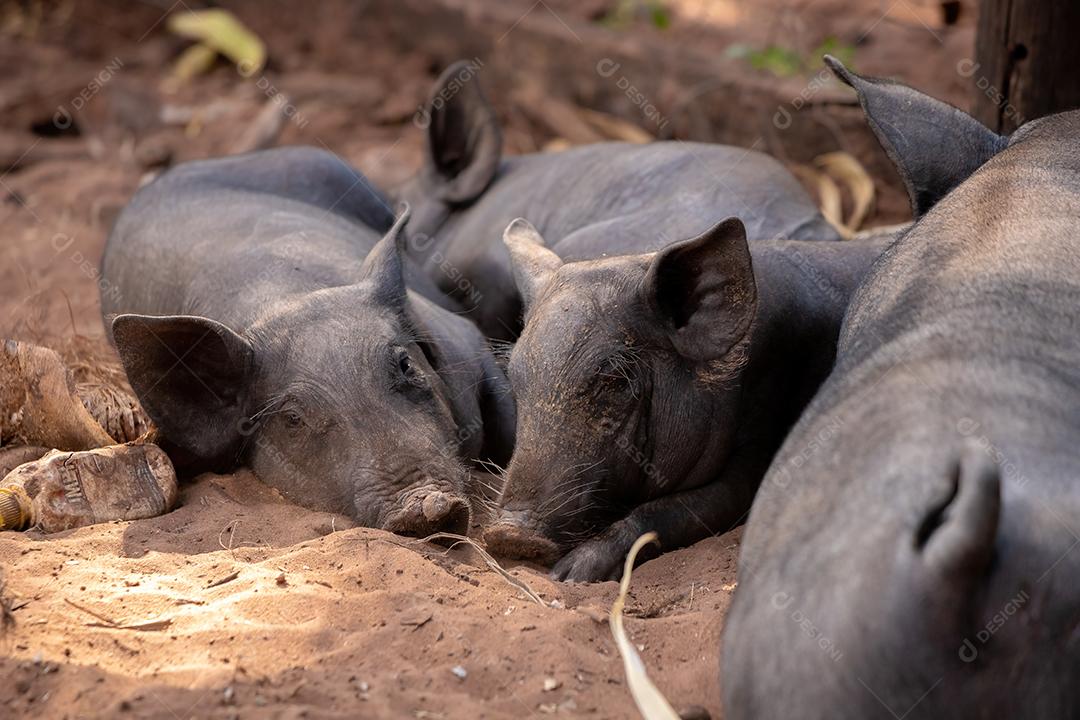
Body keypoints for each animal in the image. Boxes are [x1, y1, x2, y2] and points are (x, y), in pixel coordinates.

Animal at [481, 215, 887, 581]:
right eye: (515, 379)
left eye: (615, 379)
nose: (508, 534)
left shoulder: (758, 445)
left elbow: (684, 508)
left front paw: (569, 575)